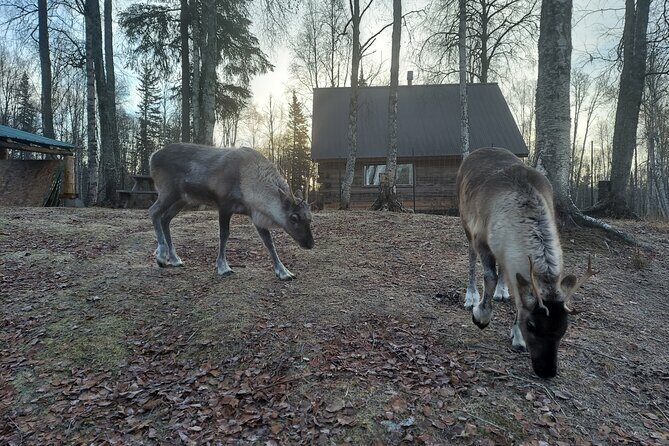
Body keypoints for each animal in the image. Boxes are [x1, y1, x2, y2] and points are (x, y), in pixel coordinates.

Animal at [148, 143, 314, 281]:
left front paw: (284, 272)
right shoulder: (224, 205)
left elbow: (269, 243)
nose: (310, 244)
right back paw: (161, 255)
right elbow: (224, 235)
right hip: (168, 191)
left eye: (310, 218)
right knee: (153, 212)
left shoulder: (255, 214)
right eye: (294, 217)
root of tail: (152, 156)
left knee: (165, 218)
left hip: (182, 199)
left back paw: (174, 258)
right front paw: (223, 266)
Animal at [456, 147, 597, 379]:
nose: (547, 371)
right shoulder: (480, 237)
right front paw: (481, 315)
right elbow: (489, 276)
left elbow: (517, 291)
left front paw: (517, 337)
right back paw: (470, 296)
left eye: (564, 328)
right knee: (471, 258)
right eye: (531, 325)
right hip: (465, 221)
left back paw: (501, 291)